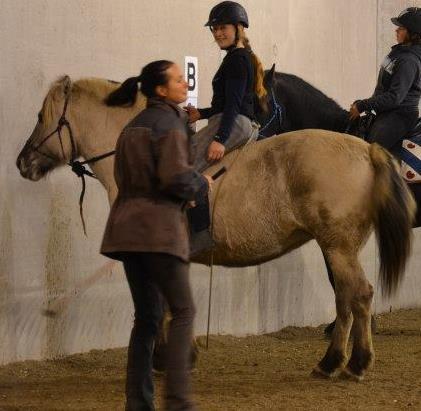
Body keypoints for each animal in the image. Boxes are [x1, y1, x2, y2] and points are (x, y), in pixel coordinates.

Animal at [15, 76, 414, 380]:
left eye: (40, 116)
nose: (23, 162)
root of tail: (365, 149)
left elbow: (162, 306)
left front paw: (165, 359)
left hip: (338, 246)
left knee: (358, 295)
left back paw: (351, 363)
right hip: (338, 248)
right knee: (346, 298)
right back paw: (335, 362)